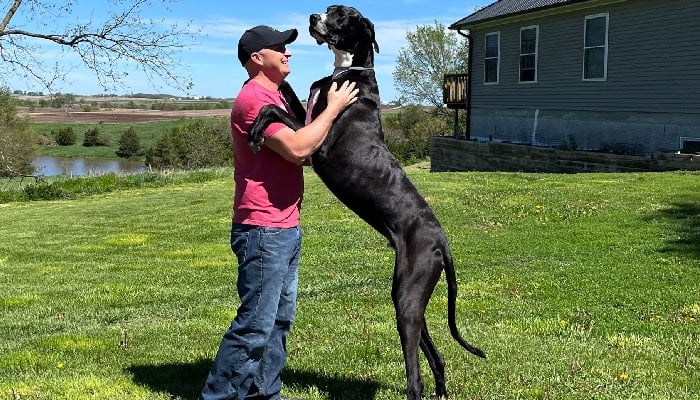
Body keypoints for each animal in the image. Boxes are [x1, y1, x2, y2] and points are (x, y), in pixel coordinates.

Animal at [249, 4, 484, 398]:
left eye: (341, 15)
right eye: (329, 10)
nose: (313, 17)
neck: (347, 71)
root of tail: (442, 241)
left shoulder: (317, 147)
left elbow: (274, 112)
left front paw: (255, 128)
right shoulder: (307, 121)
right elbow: (289, 100)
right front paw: (276, 78)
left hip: (407, 297)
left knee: (415, 377)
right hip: (408, 295)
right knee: (435, 356)